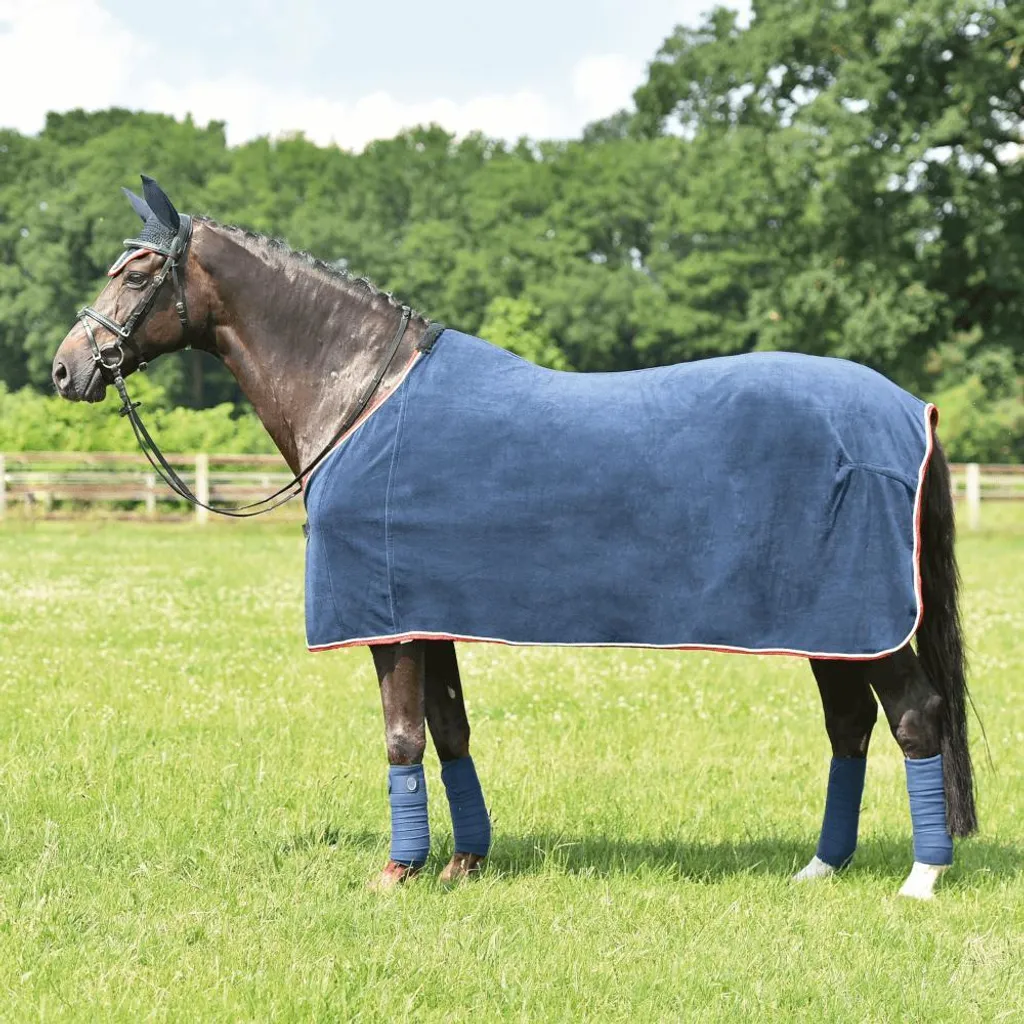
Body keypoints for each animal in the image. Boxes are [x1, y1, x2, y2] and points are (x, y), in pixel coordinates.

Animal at [51, 176, 976, 898]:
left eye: (137, 270)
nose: (68, 368)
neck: (363, 399)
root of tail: (911, 409)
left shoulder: (390, 628)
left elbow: (403, 736)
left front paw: (398, 871)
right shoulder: (424, 616)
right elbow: (450, 731)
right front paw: (465, 862)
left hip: (868, 624)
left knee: (915, 717)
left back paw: (921, 877)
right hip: (838, 628)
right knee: (851, 727)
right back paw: (821, 867)